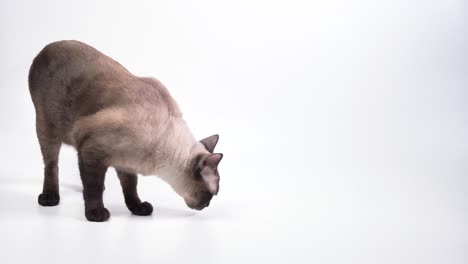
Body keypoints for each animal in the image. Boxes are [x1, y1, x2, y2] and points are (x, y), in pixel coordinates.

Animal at [28, 40, 223, 222]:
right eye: (211, 194)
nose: (206, 206)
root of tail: (48, 47)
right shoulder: (91, 150)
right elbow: (94, 187)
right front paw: (96, 213)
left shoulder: (126, 165)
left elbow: (130, 188)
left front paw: (137, 208)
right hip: (48, 129)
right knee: (51, 165)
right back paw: (50, 197)